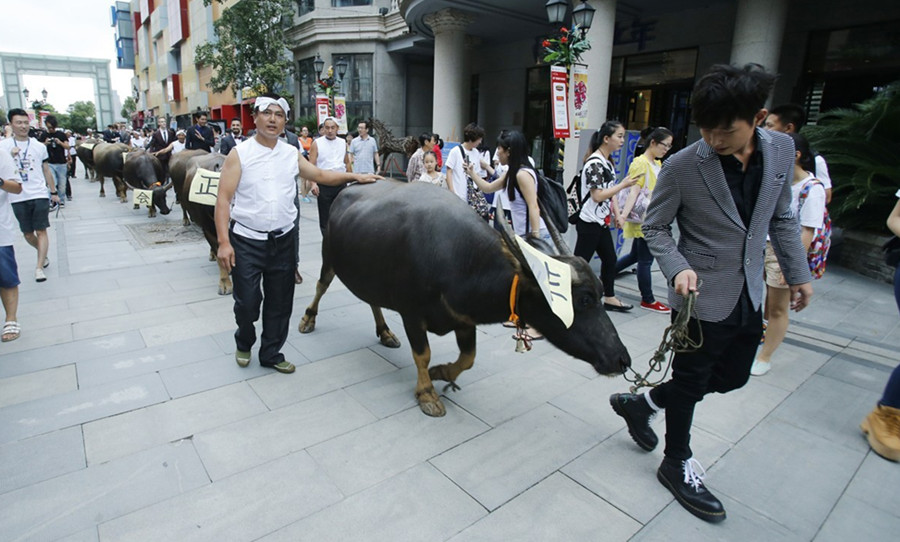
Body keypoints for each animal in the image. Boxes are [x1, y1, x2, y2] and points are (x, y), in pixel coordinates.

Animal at [298, 182, 628, 416]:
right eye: (583, 299)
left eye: (601, 292)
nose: (622, 359)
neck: (461, 261)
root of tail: (346, 191)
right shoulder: (412, 314)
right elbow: (423, 354)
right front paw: (427, 393)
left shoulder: (464, 319)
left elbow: (468, 358)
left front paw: (441, 372)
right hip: (329, 258)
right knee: (321, 285)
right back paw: (308, 319)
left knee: (372, 299)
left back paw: (385, 332)